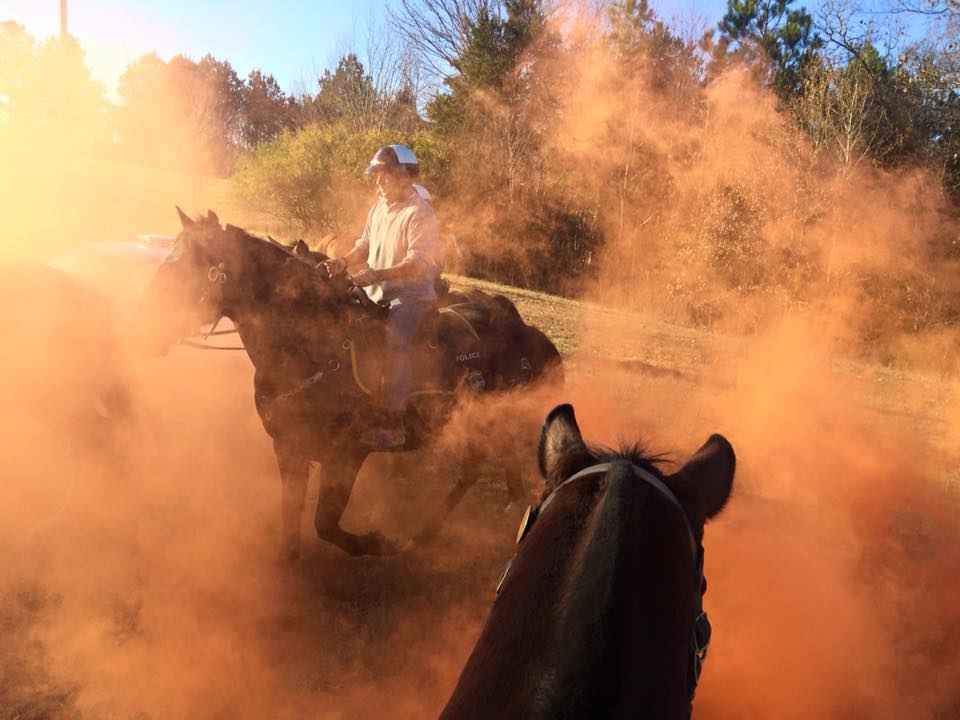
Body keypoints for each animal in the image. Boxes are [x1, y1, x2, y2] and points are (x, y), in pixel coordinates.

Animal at [129, 211, 564, 560]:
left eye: (184, 270)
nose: (139, 328)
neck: (313, 350)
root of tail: (536, 338)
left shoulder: (347, 455)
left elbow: (324, 522)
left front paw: (373, 542)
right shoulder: (288, 447)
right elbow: (291, 525)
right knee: (481, 467)